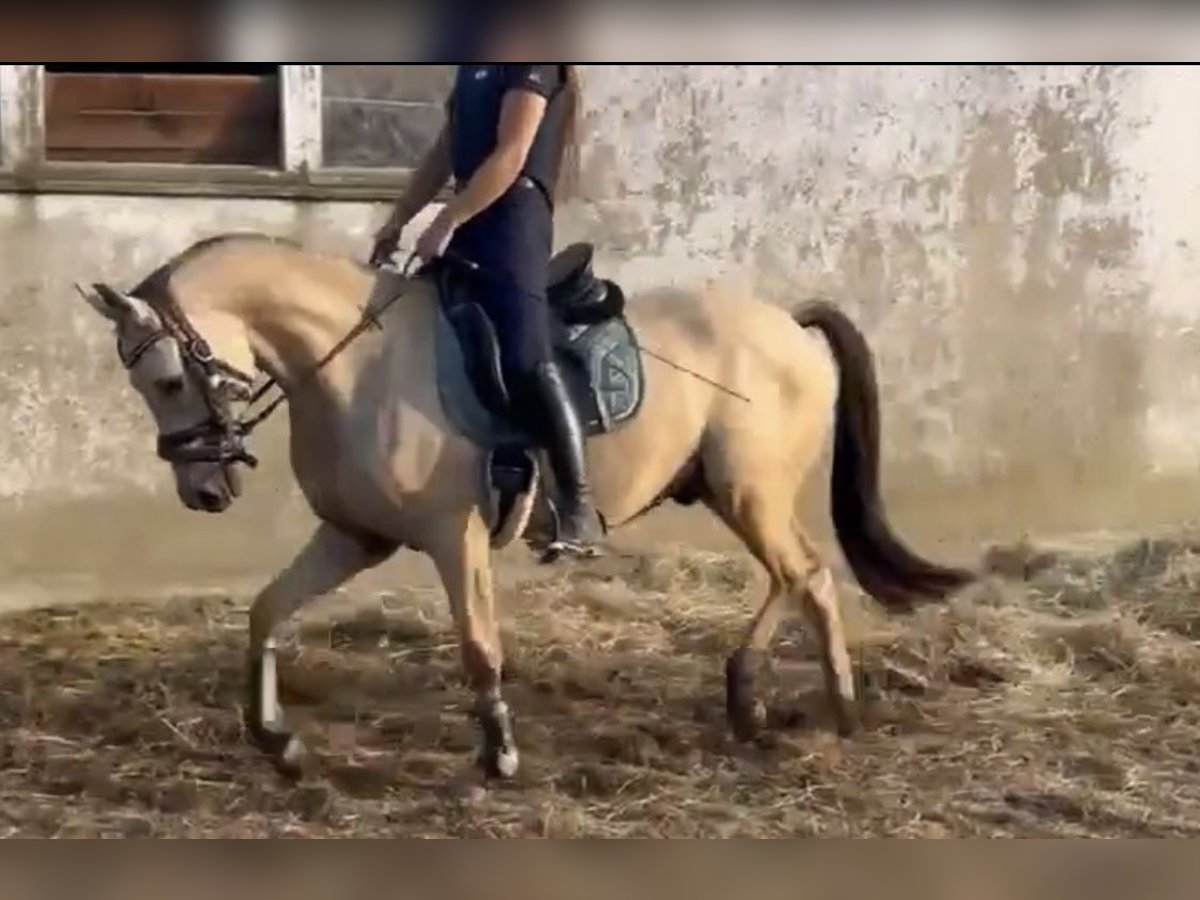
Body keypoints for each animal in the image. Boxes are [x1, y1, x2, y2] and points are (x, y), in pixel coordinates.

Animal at [77, 236, 974, 777]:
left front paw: (498, 754)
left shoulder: (453, 534)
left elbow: (479, 646)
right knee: (805, 580)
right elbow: (267, 611)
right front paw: (278, 741)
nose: (204, 489)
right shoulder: (355, 535)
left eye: (166, 379)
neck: (356, 365)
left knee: (805, 575)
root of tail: (786, 322)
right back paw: (803, 706)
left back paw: (777, 698)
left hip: (748, 491)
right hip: (738, 494)